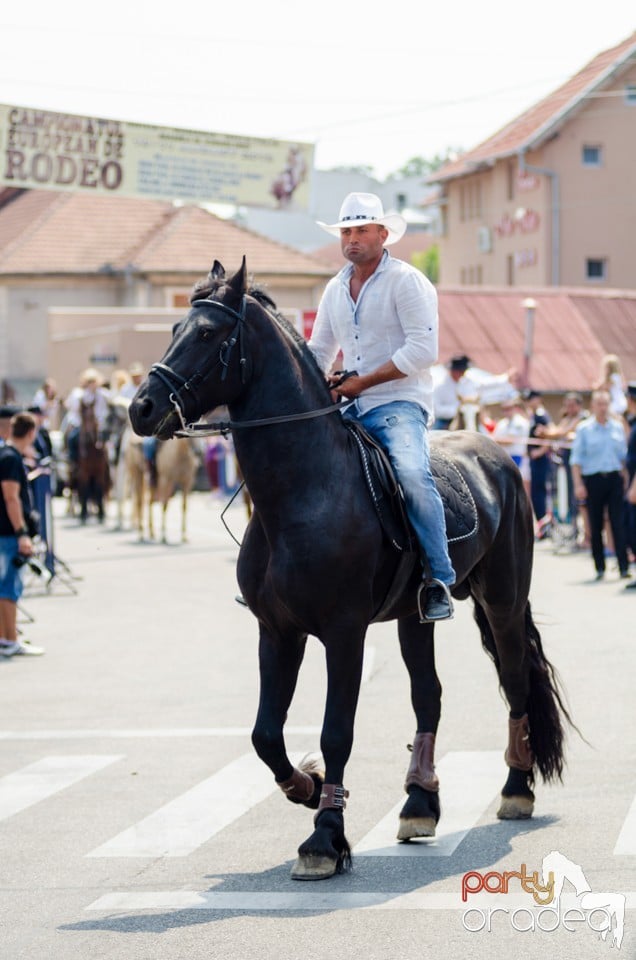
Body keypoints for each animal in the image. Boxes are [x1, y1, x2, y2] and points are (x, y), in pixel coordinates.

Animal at [128, 258, 572, 880]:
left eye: (210, 334)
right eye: (174, 328)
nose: (141, 408)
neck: (304, 491)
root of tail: (500, 456)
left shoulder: (343, 634)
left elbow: (336, 731)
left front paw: (324, 837)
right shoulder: (277, 632)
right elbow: (265, 734)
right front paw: (309, 788)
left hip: (503, 604)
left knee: (514, 686)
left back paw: (515, 789)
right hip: (415, 616)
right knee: (428, 695)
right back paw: (419, 802)